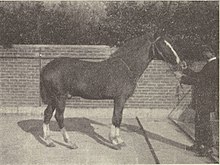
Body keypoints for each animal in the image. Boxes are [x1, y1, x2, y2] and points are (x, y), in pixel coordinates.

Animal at [40, 32, 183, 150]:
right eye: (163, 45)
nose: (181, 63)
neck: (127, 67)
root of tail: (47, 67)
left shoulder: (120, 100)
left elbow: (118, 117)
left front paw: (119, 140)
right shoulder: (120, 98)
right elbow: (117, 118)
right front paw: (114, 142)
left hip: (54, 99)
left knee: (47, 114)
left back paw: (48, 141)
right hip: (60, 98)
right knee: (59, 117)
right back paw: (69, 142)